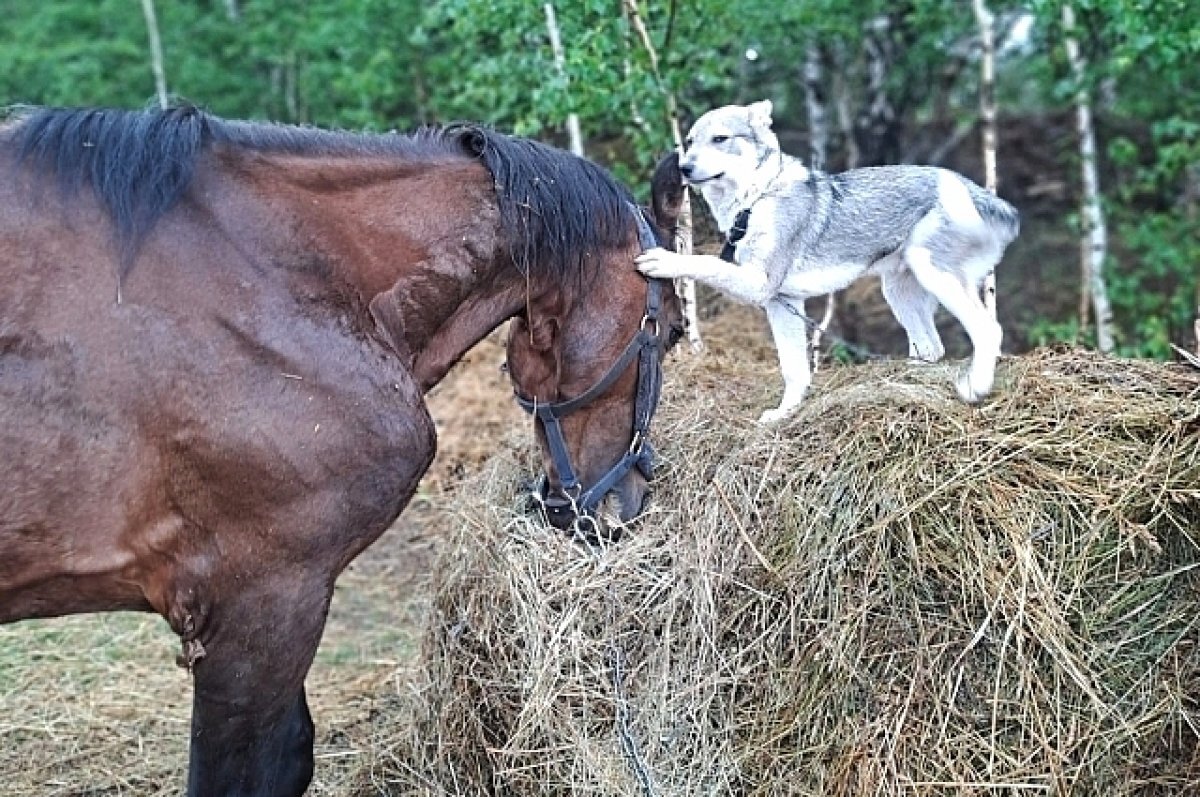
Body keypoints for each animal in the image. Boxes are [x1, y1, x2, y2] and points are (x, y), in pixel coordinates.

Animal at [638, 100, 1022, 422]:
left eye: (720, 139)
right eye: (689, 141)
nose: (684, 168)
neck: (756, 199)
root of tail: (977, 192)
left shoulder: (759, 285)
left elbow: (704, 262)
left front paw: (663, 260)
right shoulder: (781, 302)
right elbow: (794, 370)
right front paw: (784, 415)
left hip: (935, 274)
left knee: (988, 330)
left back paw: (975, 387)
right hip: (899, 291)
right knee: (931, 347)